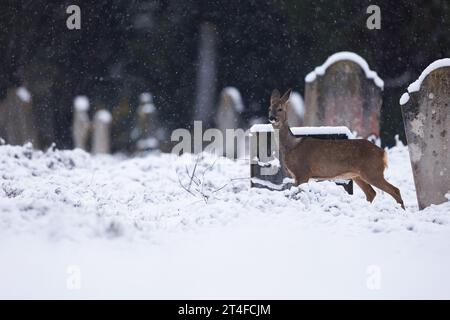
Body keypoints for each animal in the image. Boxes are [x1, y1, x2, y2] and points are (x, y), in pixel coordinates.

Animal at [268, 89, 406, 210]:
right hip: (358, 175)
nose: (271, 117)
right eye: (269, 108)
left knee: (395, 190)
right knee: (371, 193)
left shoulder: (303, 171)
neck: (291, 146)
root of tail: (383, 153)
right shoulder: (297, 175)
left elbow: (299, 193)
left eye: (280, 108)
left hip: (372, 171)